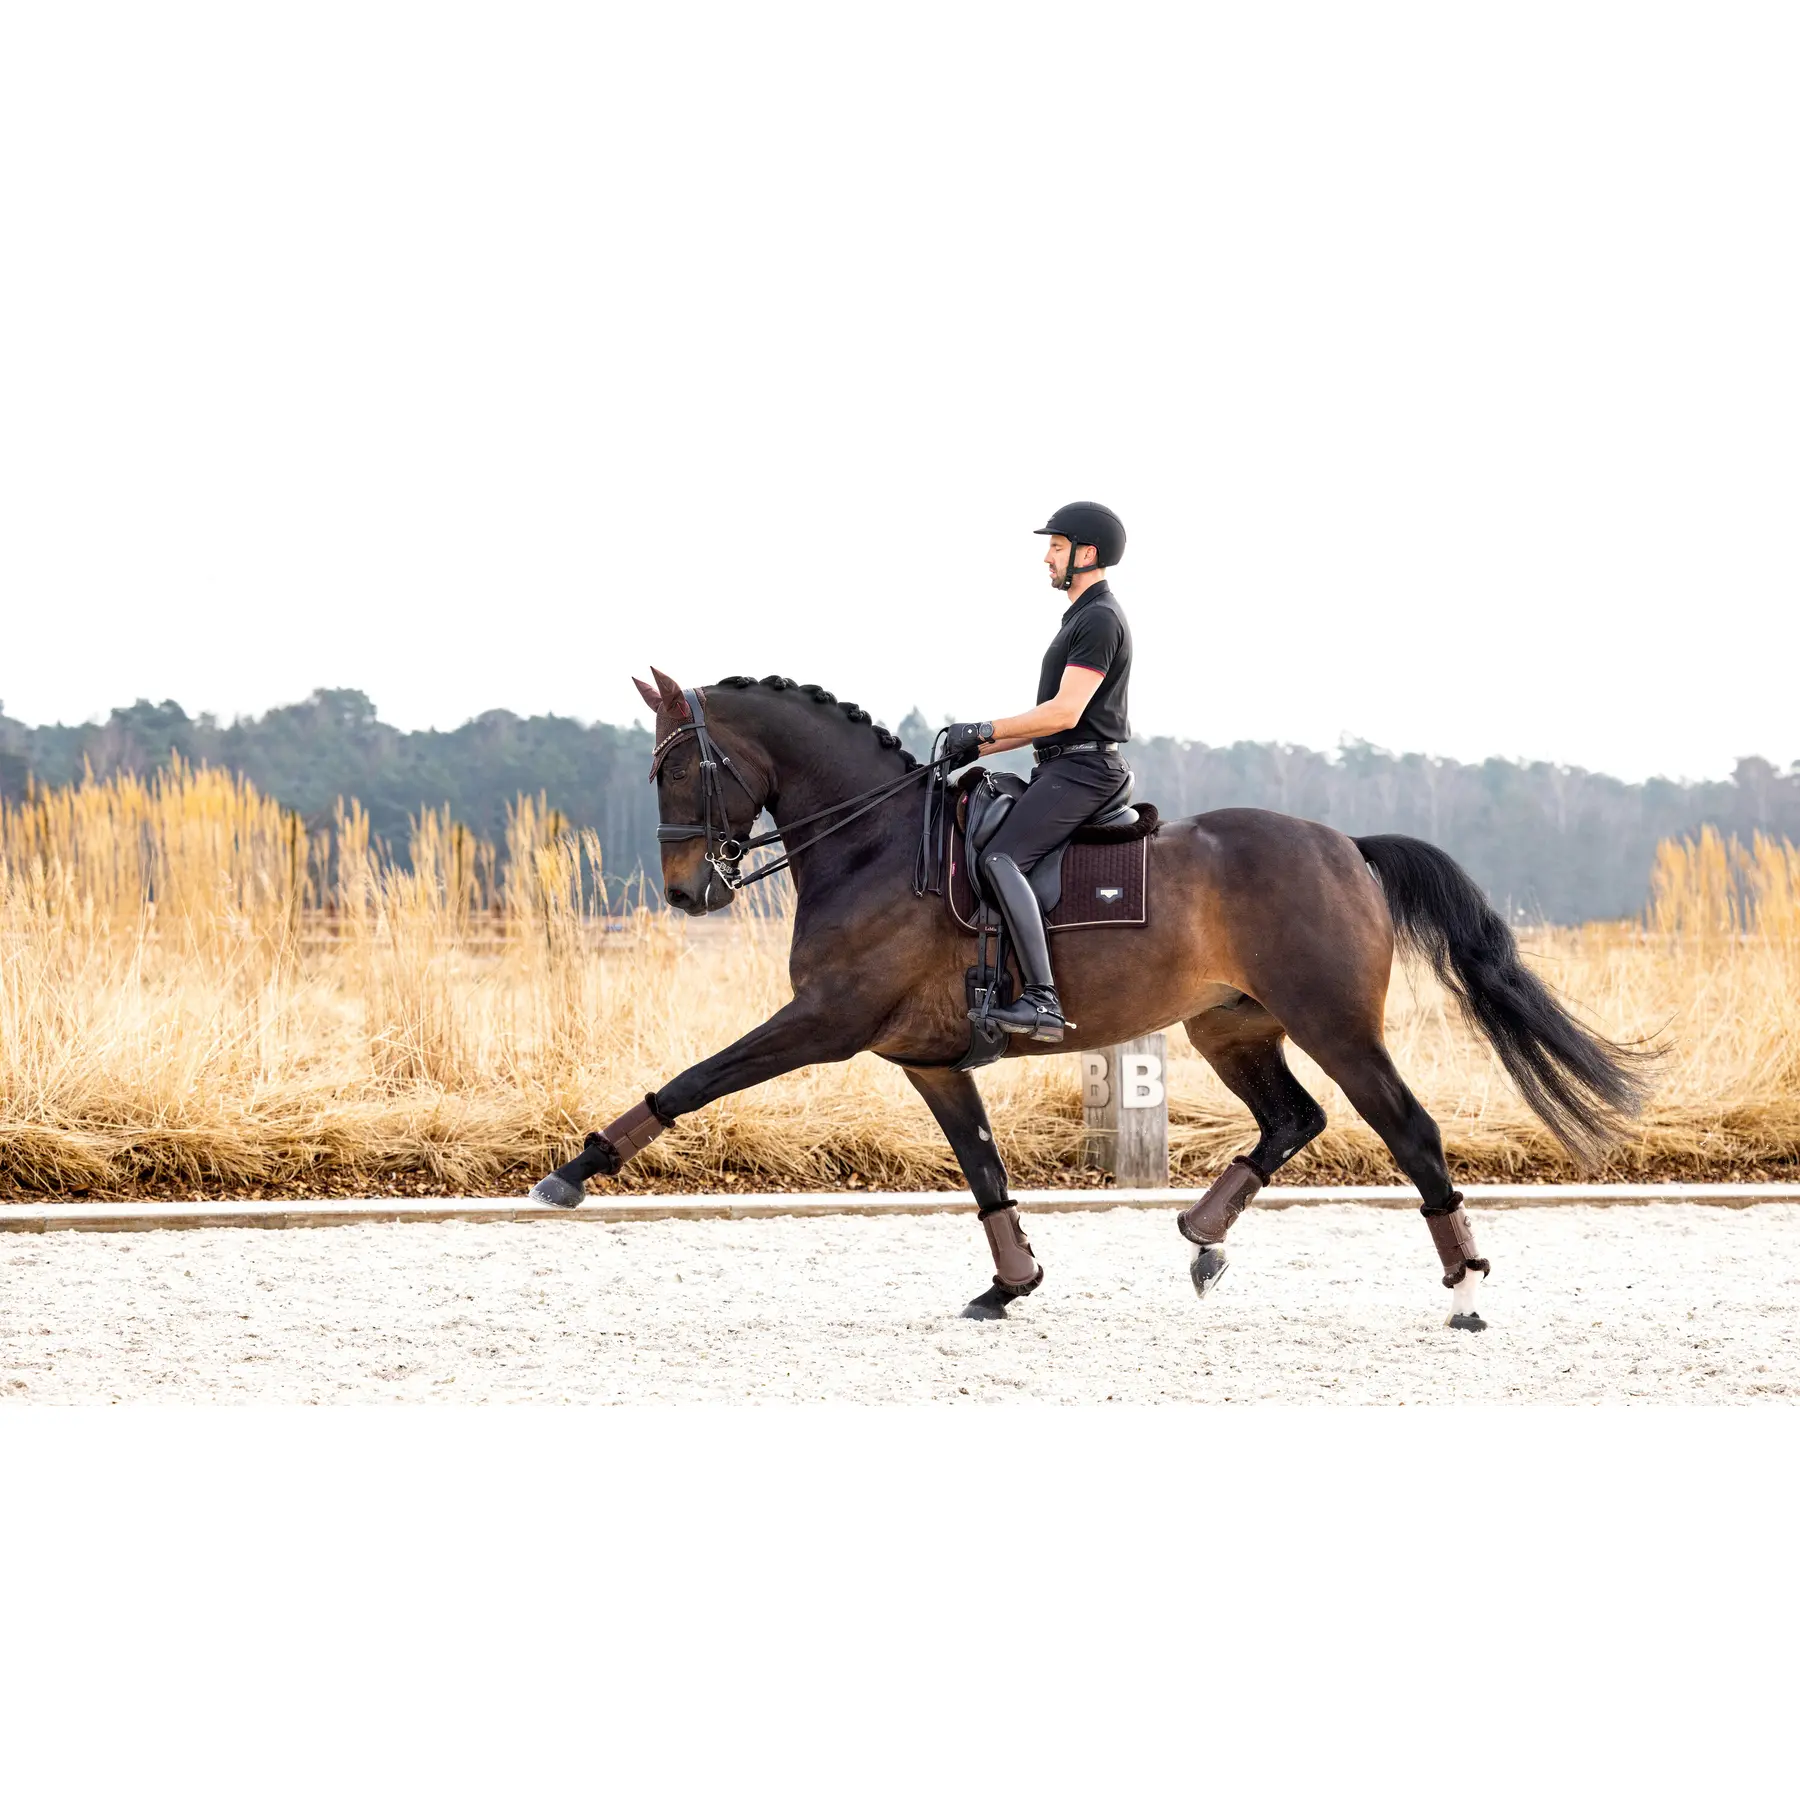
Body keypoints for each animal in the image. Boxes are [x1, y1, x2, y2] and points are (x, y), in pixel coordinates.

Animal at [528, 668, 1649, 1326]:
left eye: (680, 768)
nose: (689, 893)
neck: (871, 840)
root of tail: (1347, 847)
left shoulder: (825, 1022)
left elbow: (695, 1082)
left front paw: (573, 1171)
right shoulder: (928, 1059)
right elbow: (982, 1169)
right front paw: (1009, 1282)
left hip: (1335, 1023)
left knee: (1406, 1129)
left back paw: (1465, 1285)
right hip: (1229, 1025)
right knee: (1294, 1118)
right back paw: (1202, 1238)